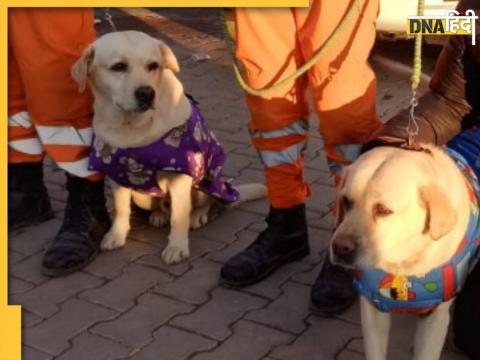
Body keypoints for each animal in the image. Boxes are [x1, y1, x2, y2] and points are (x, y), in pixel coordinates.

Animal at [71, 31, 266, 264]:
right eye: (118, 67)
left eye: (153, 65)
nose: (147, 93)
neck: (133, 129)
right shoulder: (117, 174)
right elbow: (120, 209)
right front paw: (116, 235)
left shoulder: (180, 177)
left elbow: (179, 218)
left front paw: (177, 246)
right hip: (142, 196)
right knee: (161, 207)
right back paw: (158, 215)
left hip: (206, 183)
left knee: (208, 204)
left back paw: (198, 215)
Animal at [330, 145, 480, 360]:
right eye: (347, 201)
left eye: (383, 210)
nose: (340, 248)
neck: (404, 266)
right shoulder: (372, 307)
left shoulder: (435, 316)